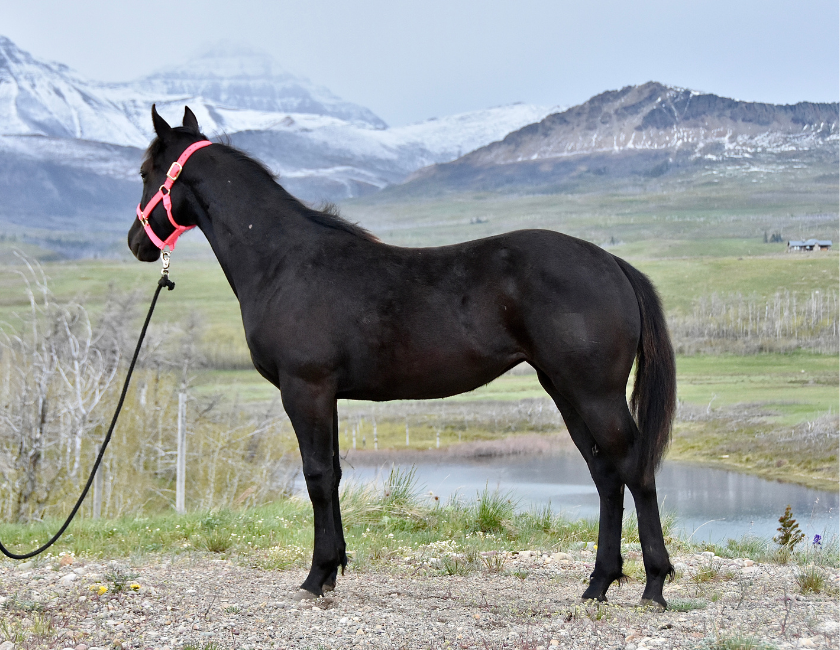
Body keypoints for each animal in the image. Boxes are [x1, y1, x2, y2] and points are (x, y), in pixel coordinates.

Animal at [128, 106, 677, 608]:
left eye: (144, 171)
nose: (136, 244)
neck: (284, 262)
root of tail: (611, 262)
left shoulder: (305, 389)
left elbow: (317, 476)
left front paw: (316, 577)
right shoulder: (326, 395)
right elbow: (334, 473)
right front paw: (334, 569)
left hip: (595, 393)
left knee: (635, 468)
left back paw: (653, 586)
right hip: (564, 390)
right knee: (606, 475)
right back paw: (598, 584)